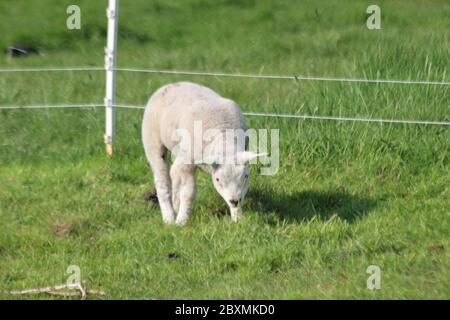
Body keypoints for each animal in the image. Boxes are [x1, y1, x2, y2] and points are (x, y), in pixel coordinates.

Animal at [142, 82, 264, 225]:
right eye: (217, 179)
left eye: (246, 176)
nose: (234, 201)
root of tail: (170, 85)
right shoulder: (187, 163)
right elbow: (188, 194)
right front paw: (181, 221)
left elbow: (242, 195)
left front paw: (238, 219)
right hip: (153, 142)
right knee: (162, 180)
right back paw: (169, 217)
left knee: (173, 173)